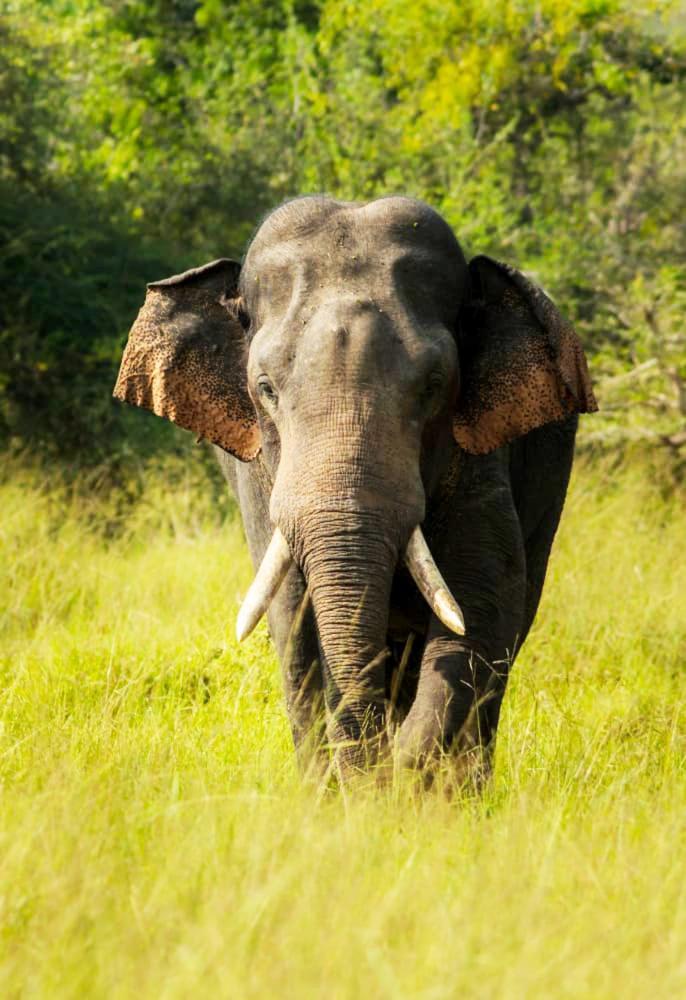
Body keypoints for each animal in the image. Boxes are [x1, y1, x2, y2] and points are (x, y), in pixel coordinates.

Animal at [113, 195, 596, 784]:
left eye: (434, 386)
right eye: (265, 388)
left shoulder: (482, 454)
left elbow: (481, 606)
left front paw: (401, 783)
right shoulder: (260, 476)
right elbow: (294, 621)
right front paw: (350, 788)